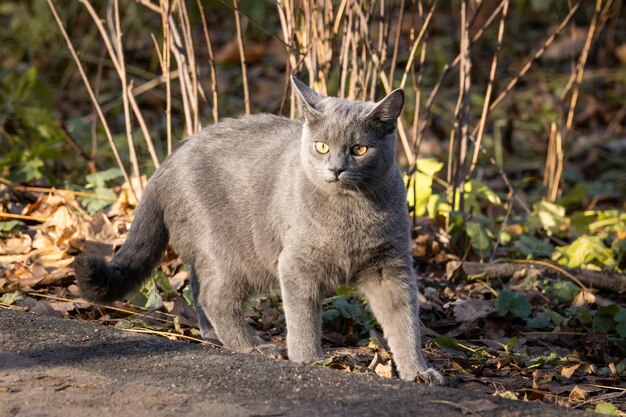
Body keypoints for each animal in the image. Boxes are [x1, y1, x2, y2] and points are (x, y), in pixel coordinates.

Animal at [73, 77, 442, 384]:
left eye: (359, 149)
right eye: (321, 146)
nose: (336, 169)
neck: (351, 213)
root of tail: (167, 161)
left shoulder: (389, 268)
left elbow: (404, 321)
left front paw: (418, 372)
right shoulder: (295, 263)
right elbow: (303, 316)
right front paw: (309, 359)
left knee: (198, 286)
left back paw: (213, 336)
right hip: (230, 251)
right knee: (214, 297)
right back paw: (252, 346)